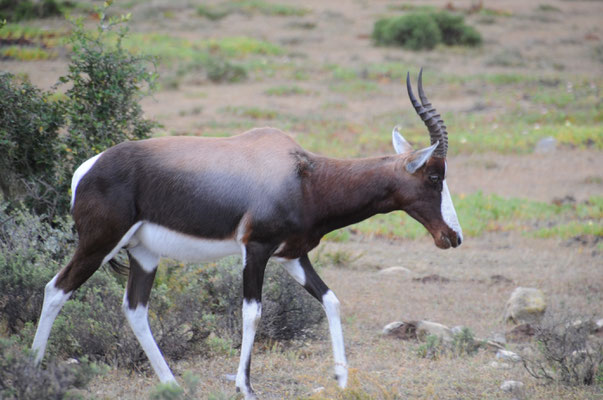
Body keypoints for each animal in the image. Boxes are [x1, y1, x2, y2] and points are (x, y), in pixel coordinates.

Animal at [33, 70, 462, 398]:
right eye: (434, 176)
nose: (453, 237)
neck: (304, 176)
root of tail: (87, 169)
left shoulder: (292, 256)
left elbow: (332, 300)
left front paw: (341, 378)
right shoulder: (255, 250)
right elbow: (252, 313)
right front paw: (246, 386)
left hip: (144, 254)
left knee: (135, 309)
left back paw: (172, 384)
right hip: (98, 243)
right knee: (56, 289)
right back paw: (31, 370)